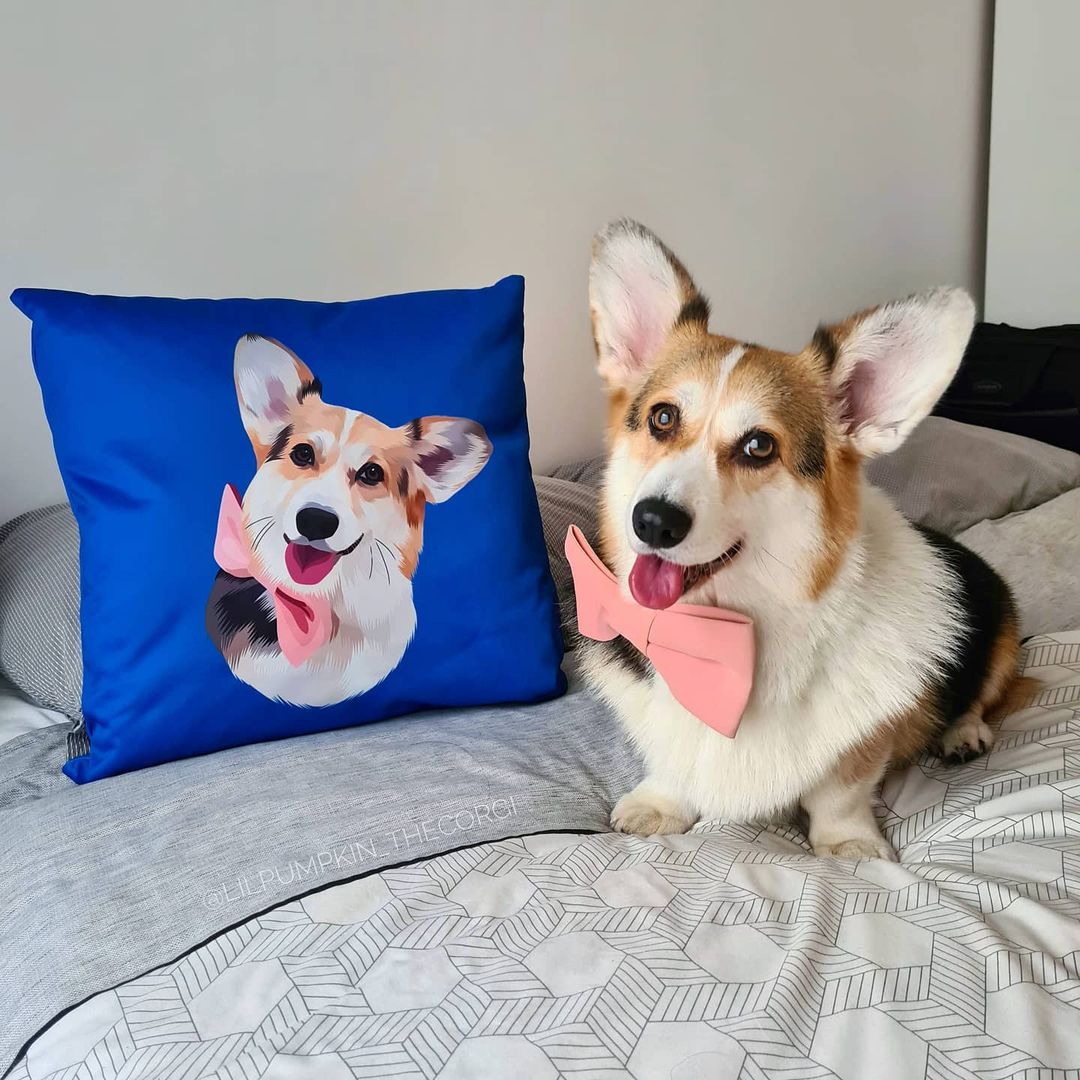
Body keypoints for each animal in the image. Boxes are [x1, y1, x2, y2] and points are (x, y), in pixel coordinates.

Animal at [583, 219, 1019, 859]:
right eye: (663, 418)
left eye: (758, 446)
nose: (653, 521)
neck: (726, 632)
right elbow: (673, 760)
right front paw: (659, 804)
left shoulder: (863, 743)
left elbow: (841, 790)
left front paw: (849, 846)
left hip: (1000, 625)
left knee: (986, 692)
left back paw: (963, 732)